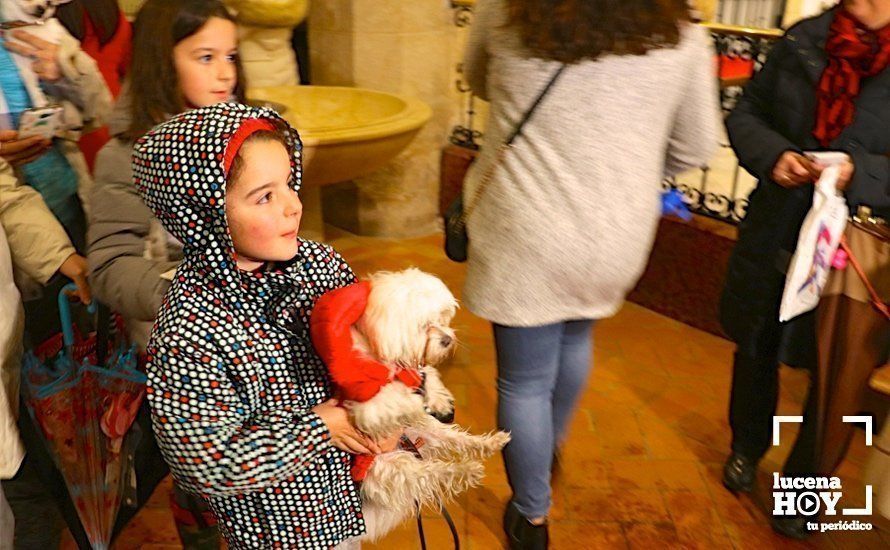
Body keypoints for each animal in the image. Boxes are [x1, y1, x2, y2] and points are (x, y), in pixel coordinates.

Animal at [310, 270, 506, 540]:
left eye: (440, 319)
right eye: (424, 326)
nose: (448, 339)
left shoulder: (414, 372)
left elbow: (427, 373)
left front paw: (436, 398)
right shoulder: (366, 404)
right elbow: (394, 399)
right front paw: (412, 401)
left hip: (431, 431)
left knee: (458, 441)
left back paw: (489, 443)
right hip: (392, 467)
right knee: (432, 474)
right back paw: (466, 470)